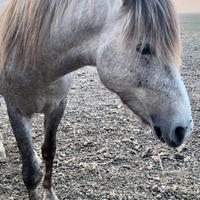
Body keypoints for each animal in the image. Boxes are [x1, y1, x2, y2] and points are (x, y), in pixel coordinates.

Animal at [0, 0, 194, 200]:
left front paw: (49, 192)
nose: (183, 128)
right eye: (144, 48)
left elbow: (49, 152)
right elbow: (31, 173)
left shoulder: (57, 107)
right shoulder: (16, 112)